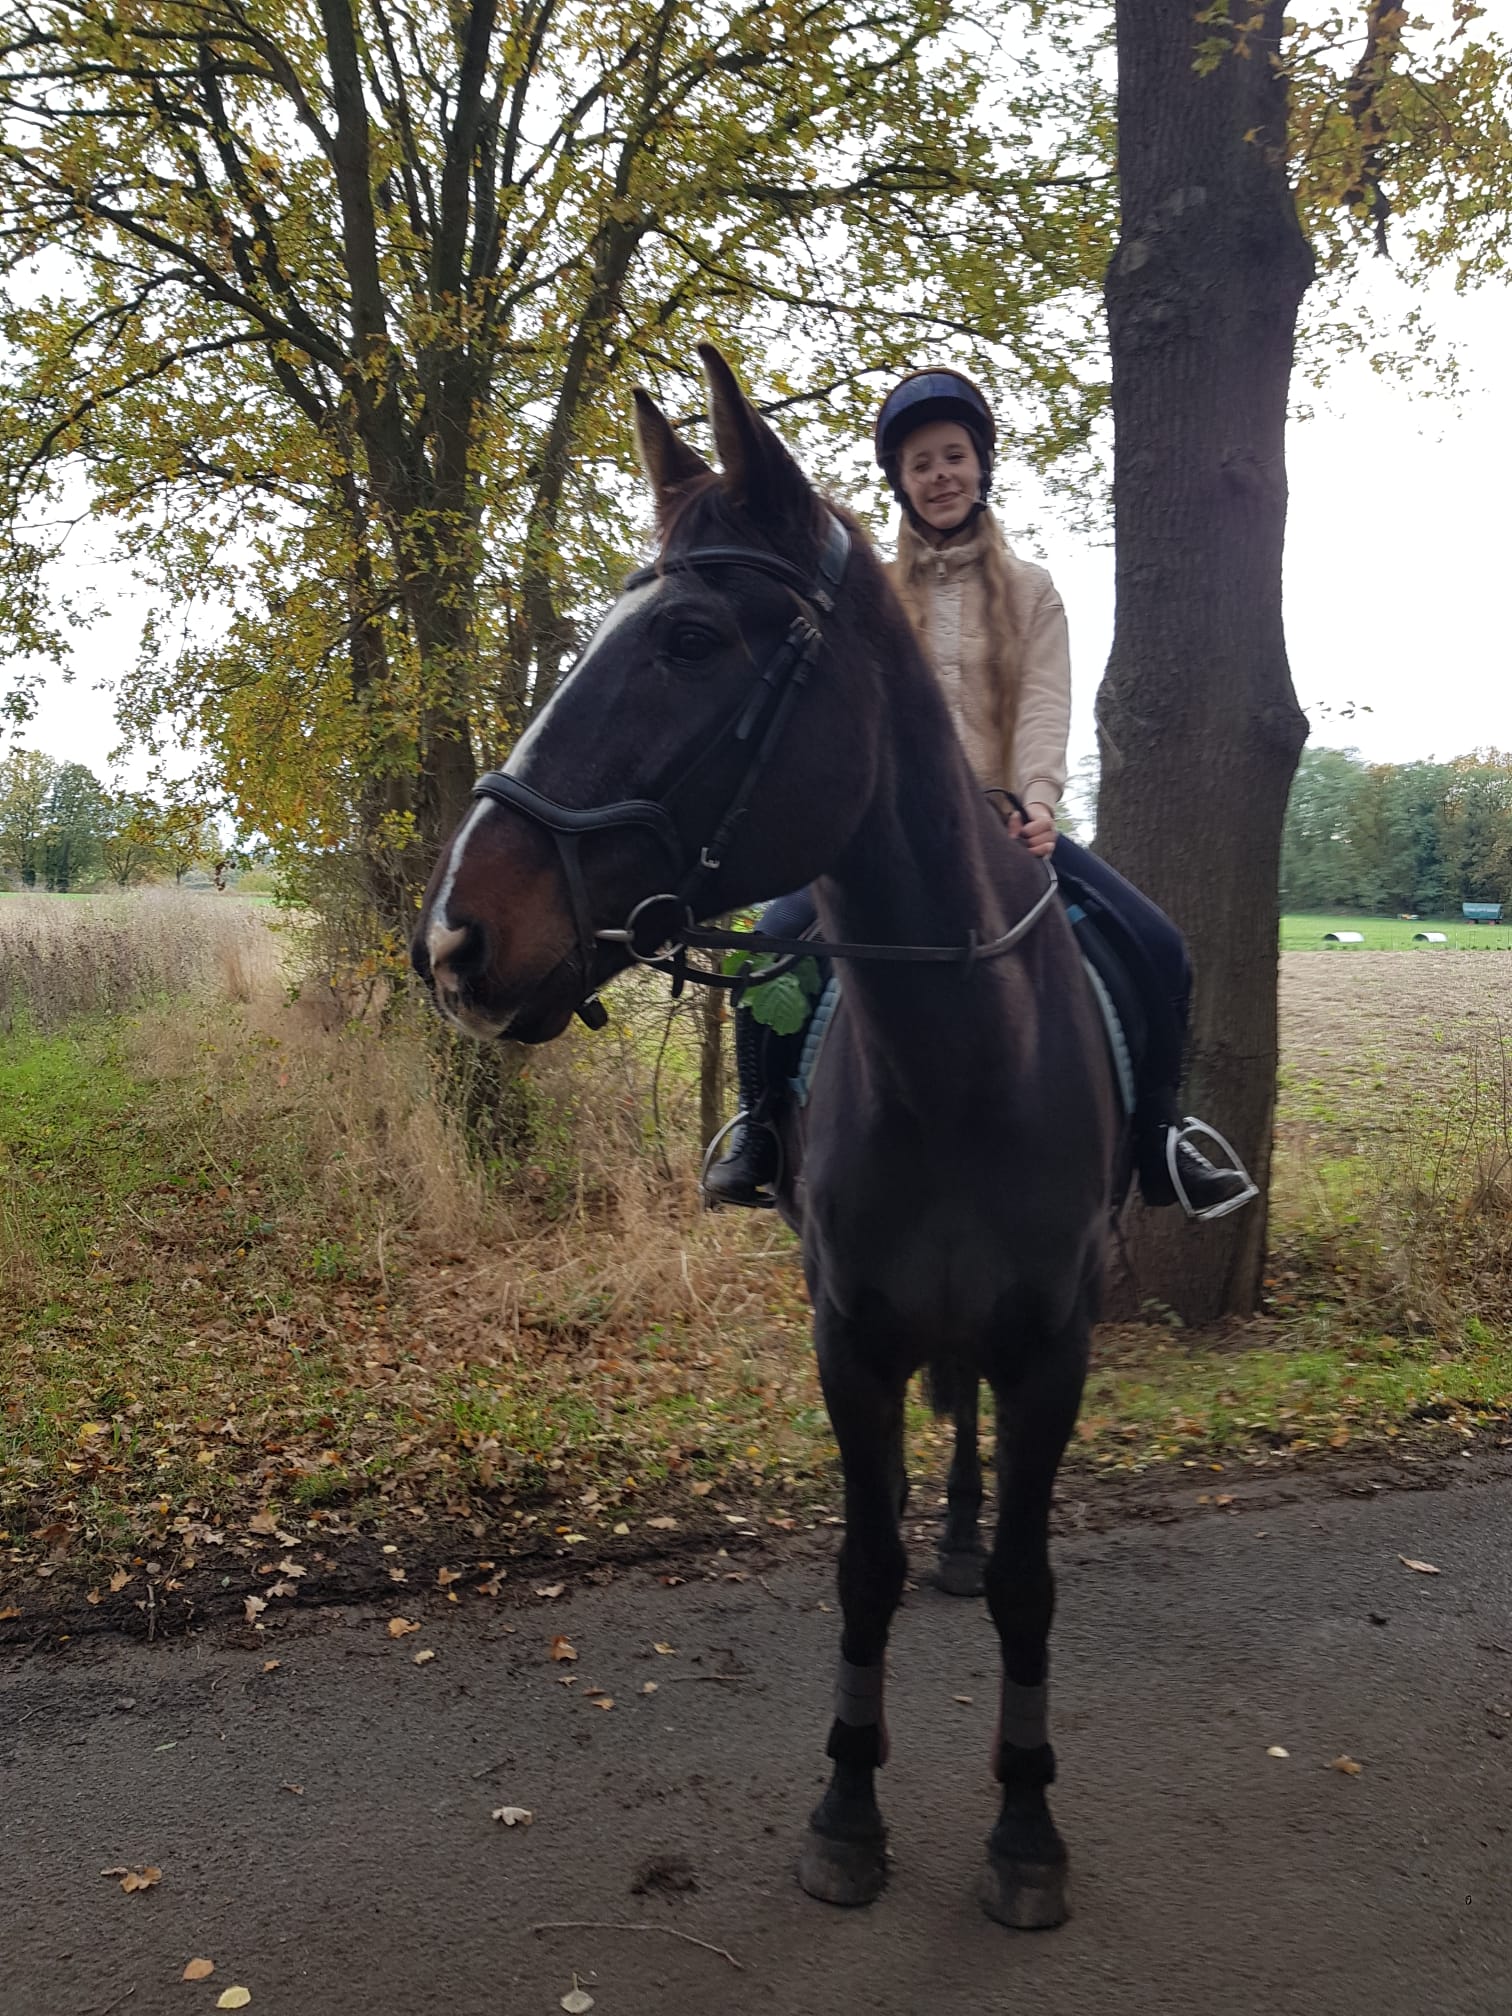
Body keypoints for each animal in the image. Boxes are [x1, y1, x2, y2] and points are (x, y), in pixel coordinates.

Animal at [412, 345, 1118, 1929]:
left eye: (687, 637)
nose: (452, 939)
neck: (961, 1062)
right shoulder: (846, 1336)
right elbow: (862, 1565)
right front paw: (848, 1807)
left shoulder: (1055, 1345)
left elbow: (1035, 1582)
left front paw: (1028, 1826)